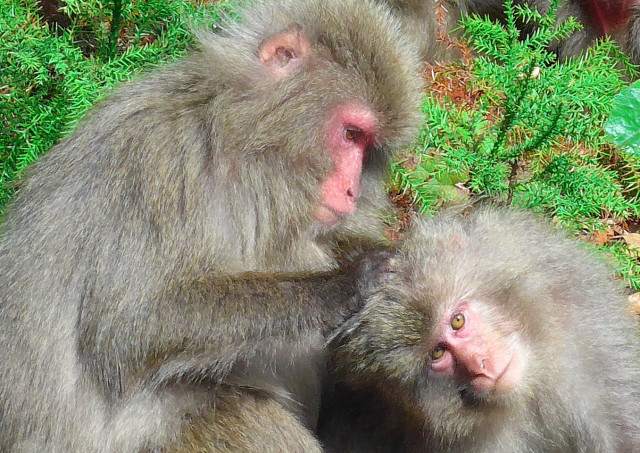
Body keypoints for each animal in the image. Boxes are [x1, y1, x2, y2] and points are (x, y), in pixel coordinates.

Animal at [0, 0, 424, 448]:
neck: (234, 139)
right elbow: (129, 328)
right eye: (351, 134)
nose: (351, 190)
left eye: (368, 149)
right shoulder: (159, 161)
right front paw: (346, 284)